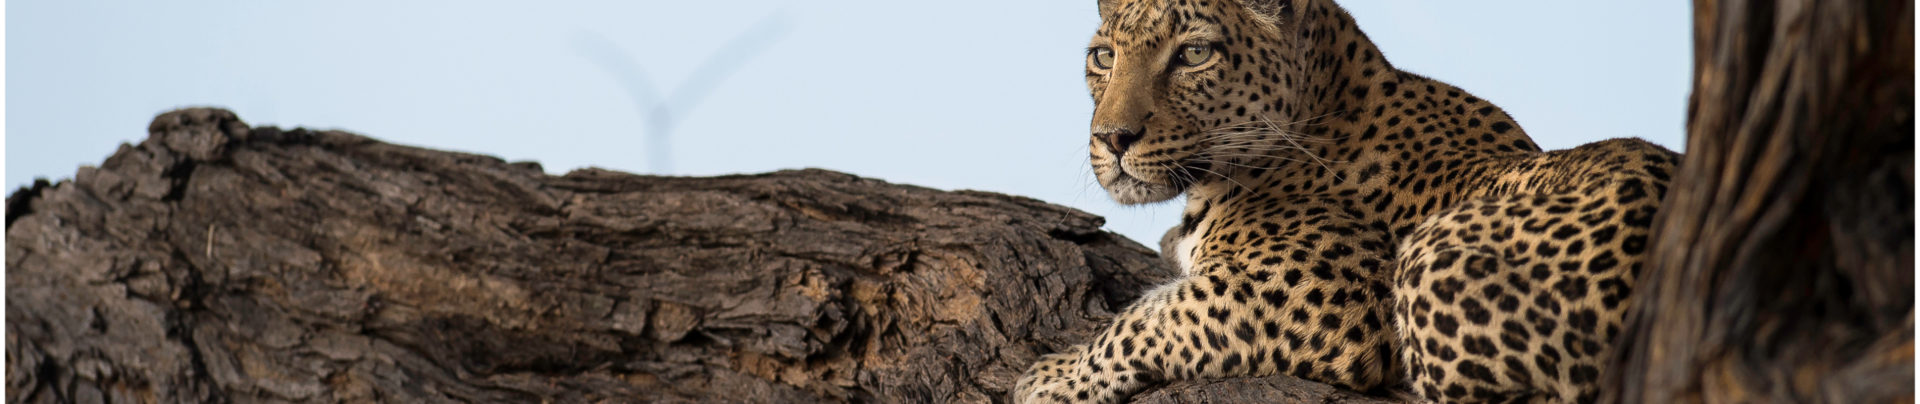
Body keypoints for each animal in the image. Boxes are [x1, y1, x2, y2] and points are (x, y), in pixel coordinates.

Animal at [1011, 0, 1680, 403]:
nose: (1112, 138)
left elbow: (1144, 320)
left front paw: (1049, 378)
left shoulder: (1320, 294)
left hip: (1430, 253)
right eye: (1104, 56)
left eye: (1194, 54)